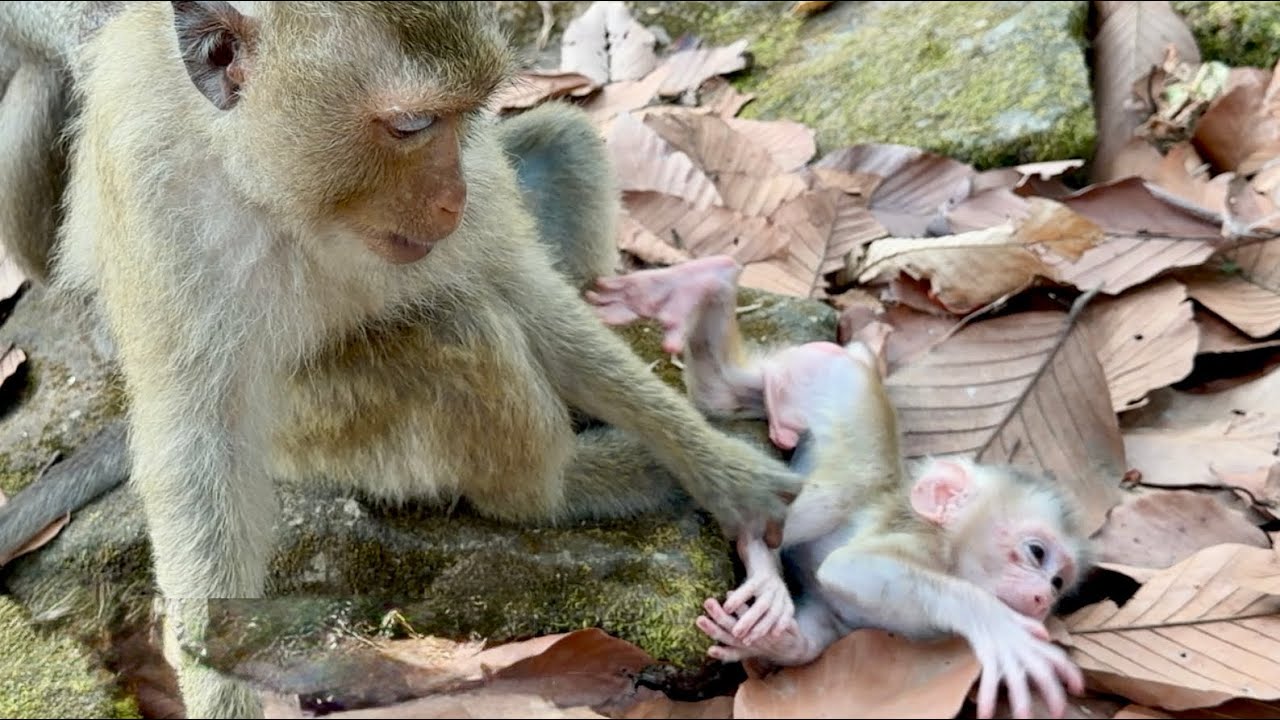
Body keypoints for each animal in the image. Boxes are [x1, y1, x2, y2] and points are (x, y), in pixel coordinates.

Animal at [43, 3, 804, 717]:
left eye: (468, 115)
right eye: (411, 125)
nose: (451, 200)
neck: (249, 168)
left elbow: (521, 286)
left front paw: (721, 472)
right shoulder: (157, 203)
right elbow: (201, 448)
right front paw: (218, 689)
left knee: (561, 146)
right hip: (319, 432)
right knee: (455, 326)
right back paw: (561, 488)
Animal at [586, 255, 1093, 720]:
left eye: (1058, 583)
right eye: (1036, 553)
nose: (1043, 598)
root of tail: (859, 359)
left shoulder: (844, 620)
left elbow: (818, 629)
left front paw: (775, 643)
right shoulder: (919, 544)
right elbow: (853, 568)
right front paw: (994, 622)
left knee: (723, 394)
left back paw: (710, 281)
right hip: (843, 390)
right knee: (851, 479)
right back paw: (762, 559)